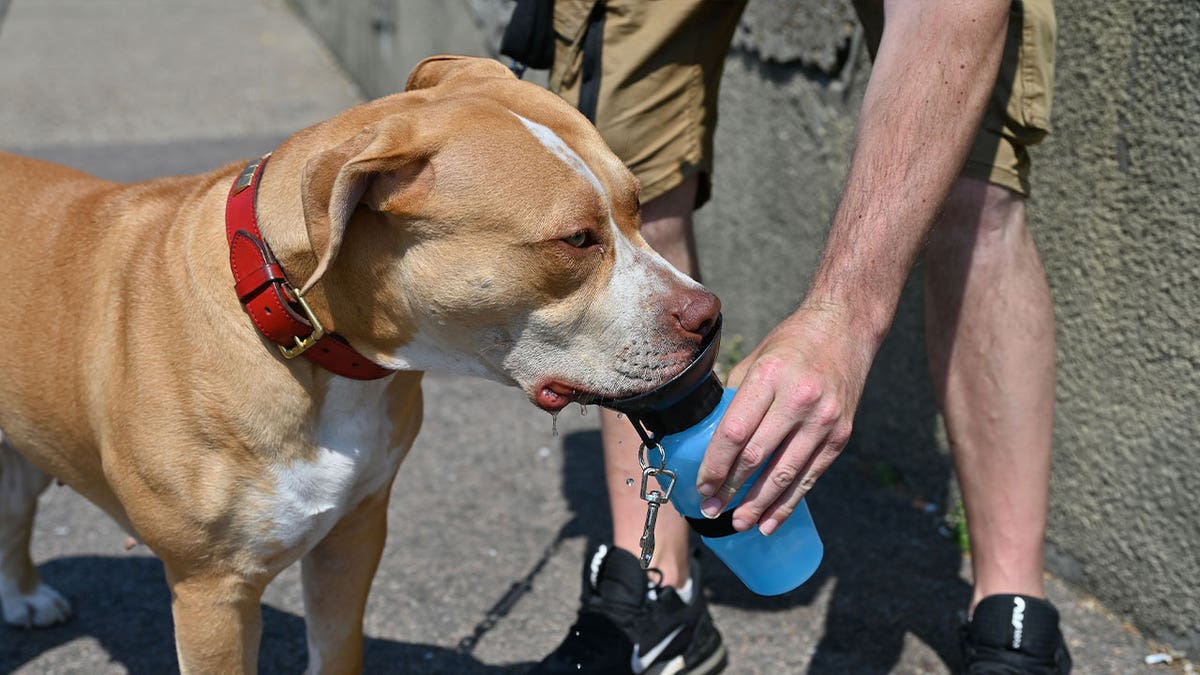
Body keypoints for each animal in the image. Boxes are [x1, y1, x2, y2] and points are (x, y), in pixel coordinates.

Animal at [0, 57, 710, 672]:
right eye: (577, 239)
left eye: (638, 206)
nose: (711, 317)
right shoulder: (212, 593)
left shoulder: (352, 538)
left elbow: (338, 648)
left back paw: (24, 595)